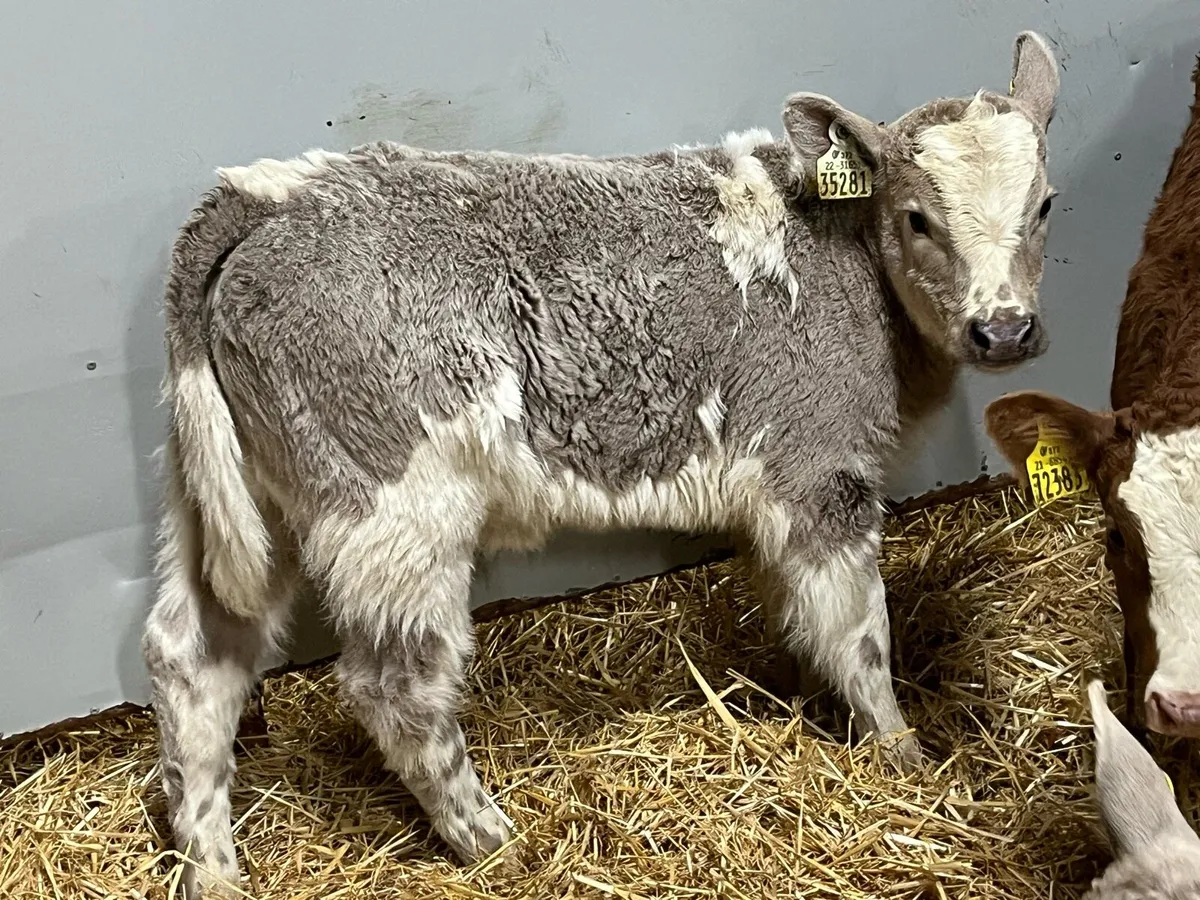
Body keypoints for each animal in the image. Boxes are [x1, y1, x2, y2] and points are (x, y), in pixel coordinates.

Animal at [142, 32, 1060, 897]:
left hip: (237, 497)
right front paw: (902, 757)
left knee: (193, 658)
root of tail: (273, 194)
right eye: (916, 219)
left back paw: (212, 869)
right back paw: (495, 842)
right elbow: (859, 631)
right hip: (394, 507)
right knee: (395, 687)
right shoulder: (820, 467)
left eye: (1046, 204)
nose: (1004, 329)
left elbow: (797, 610)